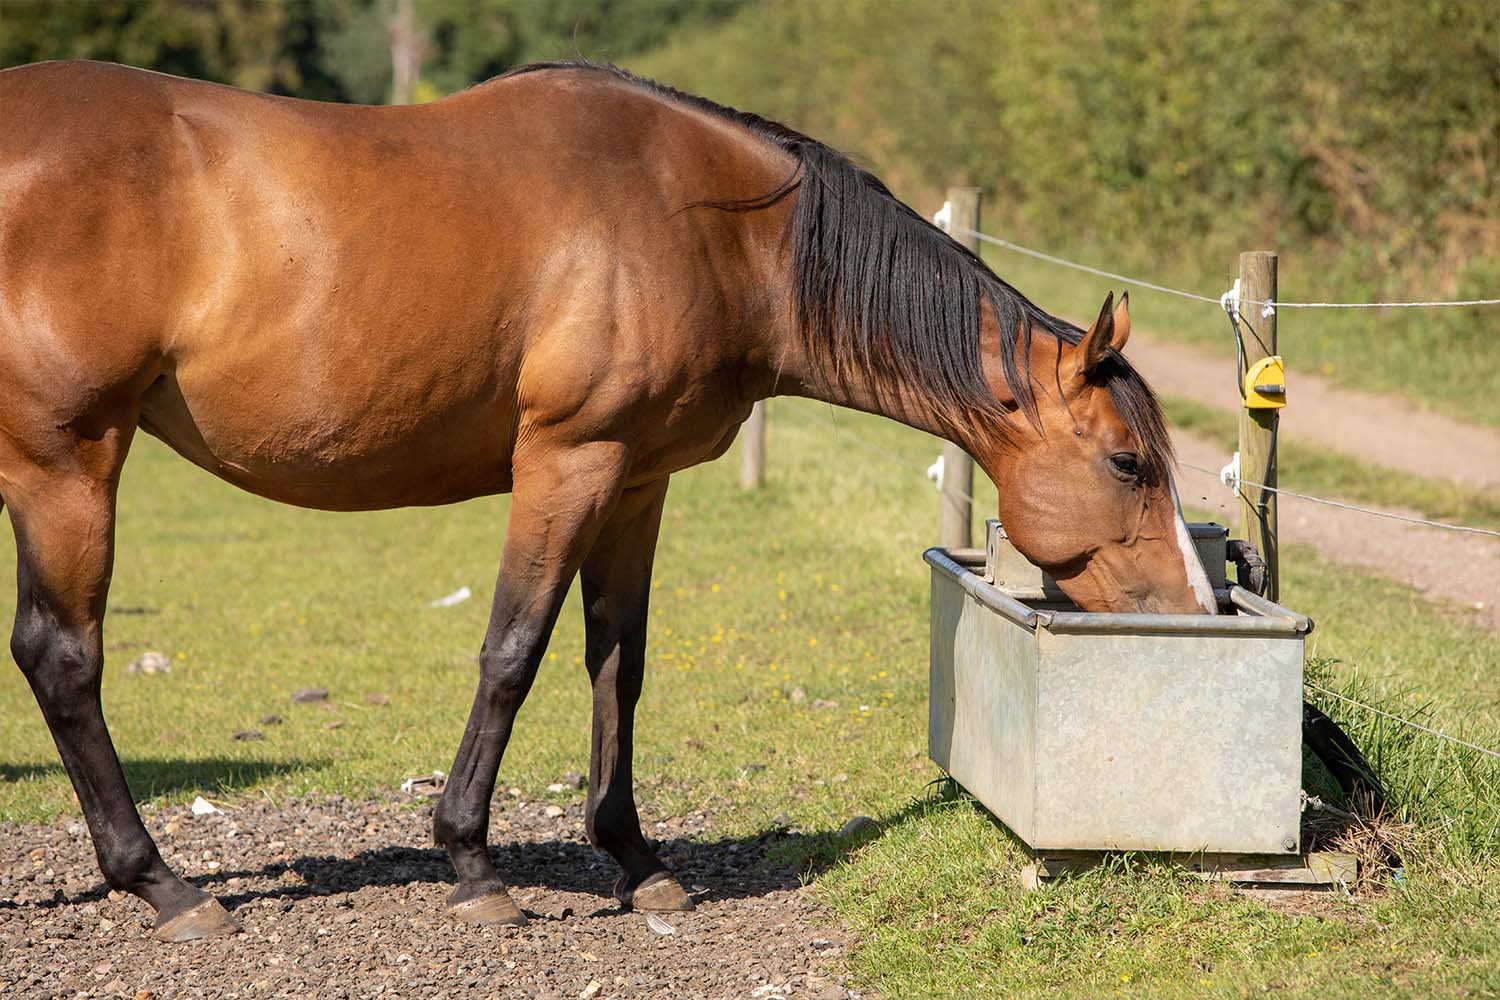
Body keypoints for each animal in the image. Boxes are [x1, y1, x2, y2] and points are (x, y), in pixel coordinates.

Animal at [0, 60, 1212, 941]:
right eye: (1130, 466)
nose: (1189, 611)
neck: (711, 221)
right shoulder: (569, 460)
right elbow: (513, 651)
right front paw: (473, 862)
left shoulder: (636, 479)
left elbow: (615, 664)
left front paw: (635, 859)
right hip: (68, 462)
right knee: (63, 658)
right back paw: (163, 884)